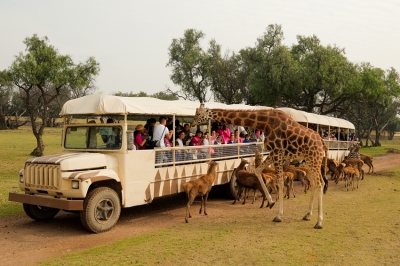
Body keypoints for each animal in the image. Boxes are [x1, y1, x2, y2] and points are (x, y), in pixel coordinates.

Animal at [191, 104, 328, 229]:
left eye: (198, 114)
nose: (192, 124)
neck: (265, 123)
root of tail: (322, 142)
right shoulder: (273, 153)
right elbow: (257, 171)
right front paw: (271, 202)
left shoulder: (277, 152)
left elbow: (280, 183)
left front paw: (278, 215)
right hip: (310, 160)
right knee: (315, 183)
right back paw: (307, 215)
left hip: (314, 159)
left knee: (320, 183)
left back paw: (319, 222)